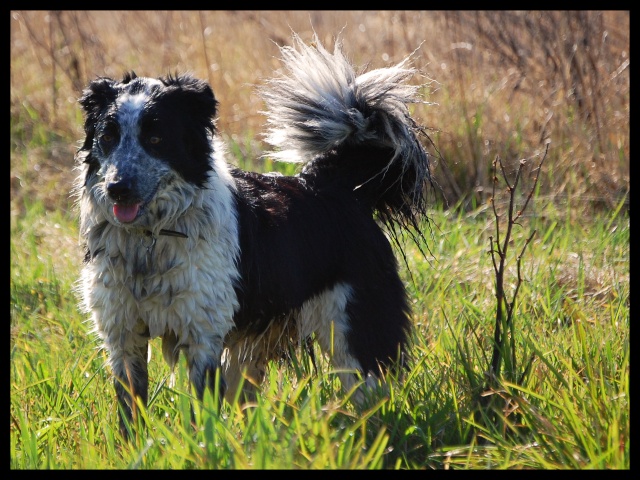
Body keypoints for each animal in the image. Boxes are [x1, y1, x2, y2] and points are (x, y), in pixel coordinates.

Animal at [75, 35, 432, 436]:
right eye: (108, 137)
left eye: (155, 137)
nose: (117, 189)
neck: (150, 238)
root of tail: (331, 182)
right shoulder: (123, 334)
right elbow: (130, 414)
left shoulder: (203, 335)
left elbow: (203, 417)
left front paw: (202, 446)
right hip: (251, 349)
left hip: (354, 331)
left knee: (371, 395)